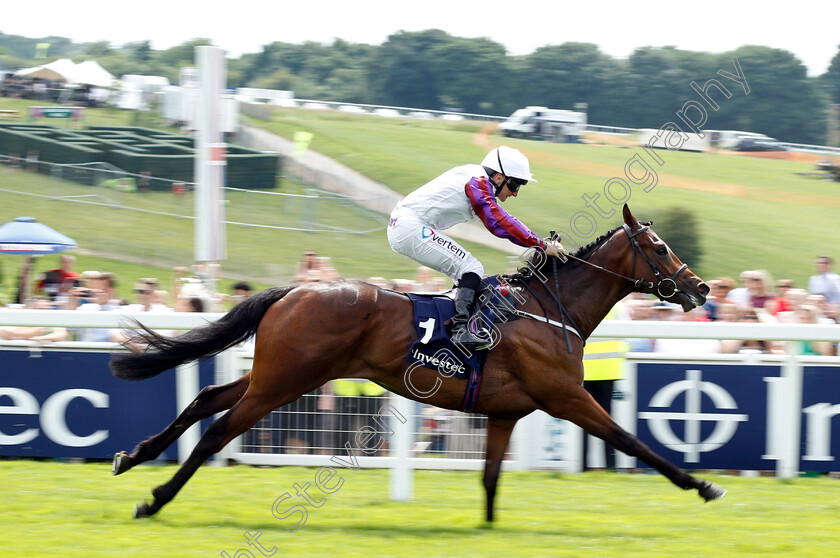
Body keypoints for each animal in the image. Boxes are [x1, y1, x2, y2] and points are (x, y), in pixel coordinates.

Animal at [111, 205, 724, 520]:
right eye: (660, 248)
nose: (701, 287)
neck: (551, 311)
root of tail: (295, 290)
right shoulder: (565, 396)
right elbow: (632, 440)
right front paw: (702, 485)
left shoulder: (505, 412)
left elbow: (491, 478)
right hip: (286, 381)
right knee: (218, 430)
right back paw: (154, 499)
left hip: (280, 373)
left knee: (205, 399)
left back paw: (131, 457)